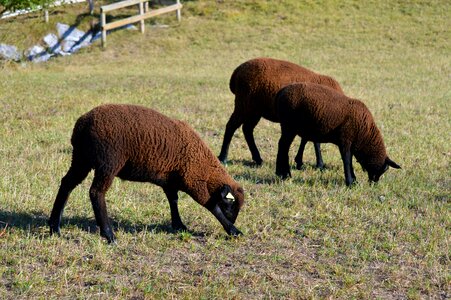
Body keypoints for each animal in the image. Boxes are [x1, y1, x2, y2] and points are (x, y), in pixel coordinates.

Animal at [49, 104, 245, 243]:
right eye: (231, 204)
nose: (234, 220)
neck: (205, 167)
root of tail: (82, 125)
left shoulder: (170, 180)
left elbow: (173, 200)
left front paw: (179, 225)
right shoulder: (193, 181)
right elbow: (211, 205)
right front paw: (234, 231)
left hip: (81, 158)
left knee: (66, 184)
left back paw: (54, 227)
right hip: (108, 162)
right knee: (96, 193)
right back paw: (109, 235)